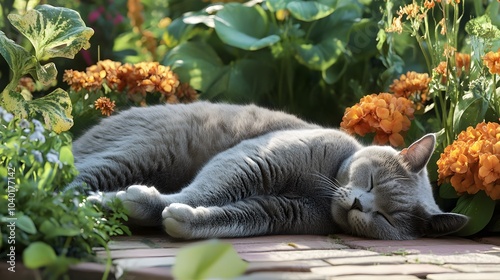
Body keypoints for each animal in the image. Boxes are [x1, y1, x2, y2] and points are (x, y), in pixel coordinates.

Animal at [71, 101, 468, 240]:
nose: (359, 204)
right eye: (371, 181)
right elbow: (205, 191)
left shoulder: (279, 211)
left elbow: (234, 217)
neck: (322, 191)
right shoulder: (255, 159)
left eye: (385, 217)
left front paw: (182, 219)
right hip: (146, 151)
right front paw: (140, 203)